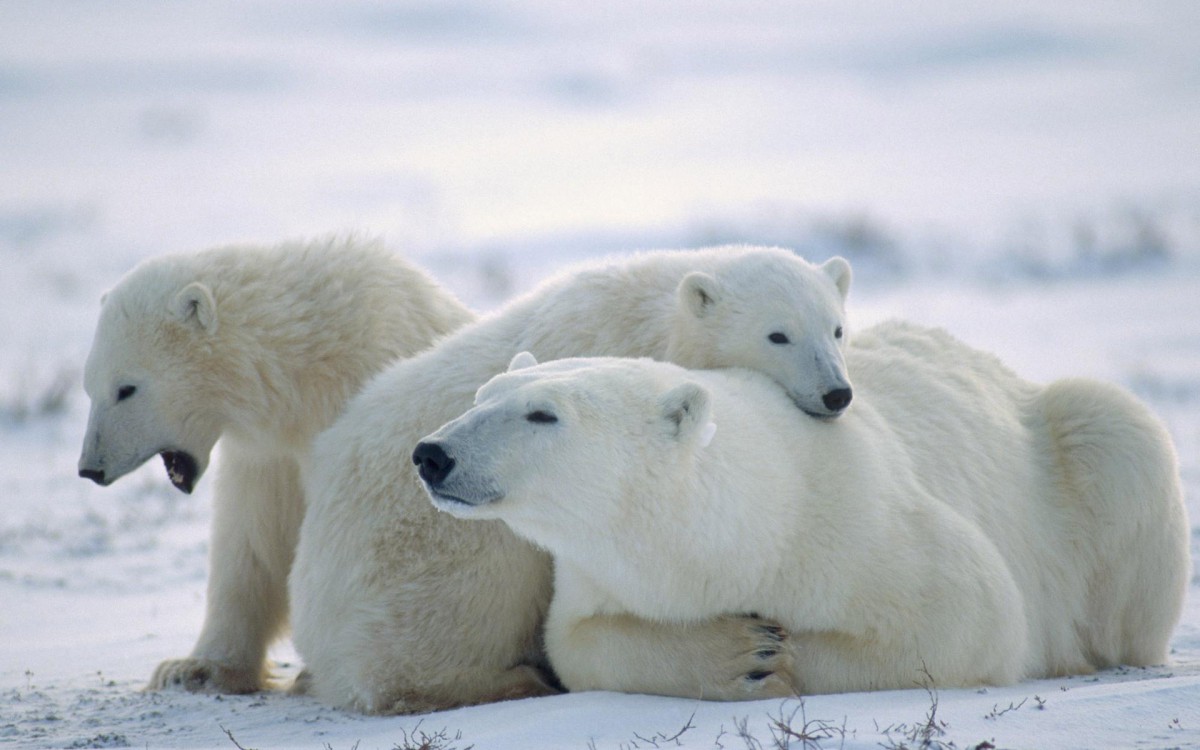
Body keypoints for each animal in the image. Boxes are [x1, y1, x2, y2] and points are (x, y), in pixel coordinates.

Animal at [77, 236, 475, 694]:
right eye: (88, 387)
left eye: (126, 388)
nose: (90, 468)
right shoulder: (267, 456)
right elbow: (251, 542)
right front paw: (193, 668)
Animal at [288, 245, 853, 713]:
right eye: (778, 334)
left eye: (837, 328)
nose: (837, 393)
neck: (654, 317)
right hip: (419, 563)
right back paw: (513, 680)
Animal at [414, 328, 1190, 698]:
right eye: (484, 394)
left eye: (542, 414)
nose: (432, 454)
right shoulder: (597, 575)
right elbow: (579, 643)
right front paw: (741, 655)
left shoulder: (861, 525)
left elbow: (971, 618)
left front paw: (778, 654)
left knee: (1115, 428)